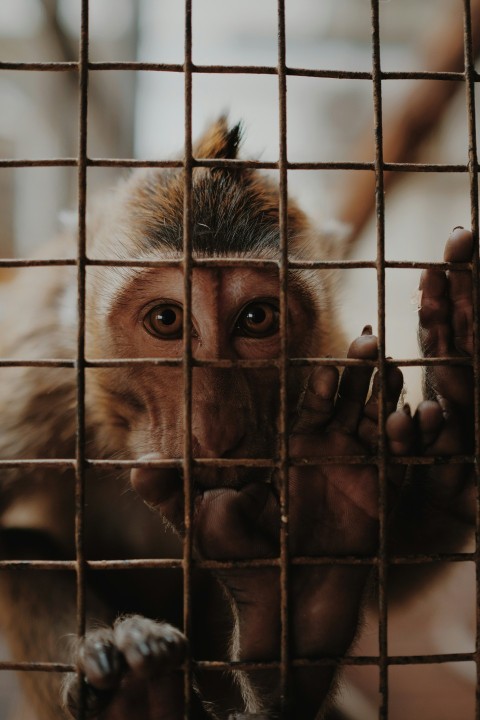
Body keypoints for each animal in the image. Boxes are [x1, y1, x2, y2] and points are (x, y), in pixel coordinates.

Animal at [0, 118, 475, 720]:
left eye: (257, 318)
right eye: (166, 320)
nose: (216, 429)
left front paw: (453, 434)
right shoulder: (37, 380)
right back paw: (146, 693)